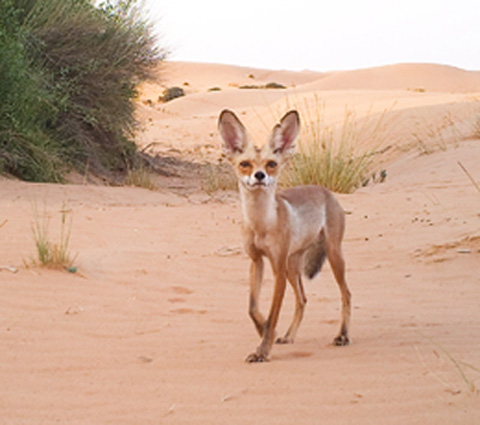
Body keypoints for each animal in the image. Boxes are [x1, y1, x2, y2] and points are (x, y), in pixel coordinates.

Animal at [218, 108, 352, 362]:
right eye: (245, 164)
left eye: (271, 164)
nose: (259, 175)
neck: (261, 225)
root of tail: (324, 190)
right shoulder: (257, 261)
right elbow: (253, 309)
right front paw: (263, 331)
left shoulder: (277, 268)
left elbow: (273, 315)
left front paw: (263, 350)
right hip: (293, 266)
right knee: (302, 300)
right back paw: (289, 336)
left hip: (332, 256)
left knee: (346, 294)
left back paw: (342, 336)